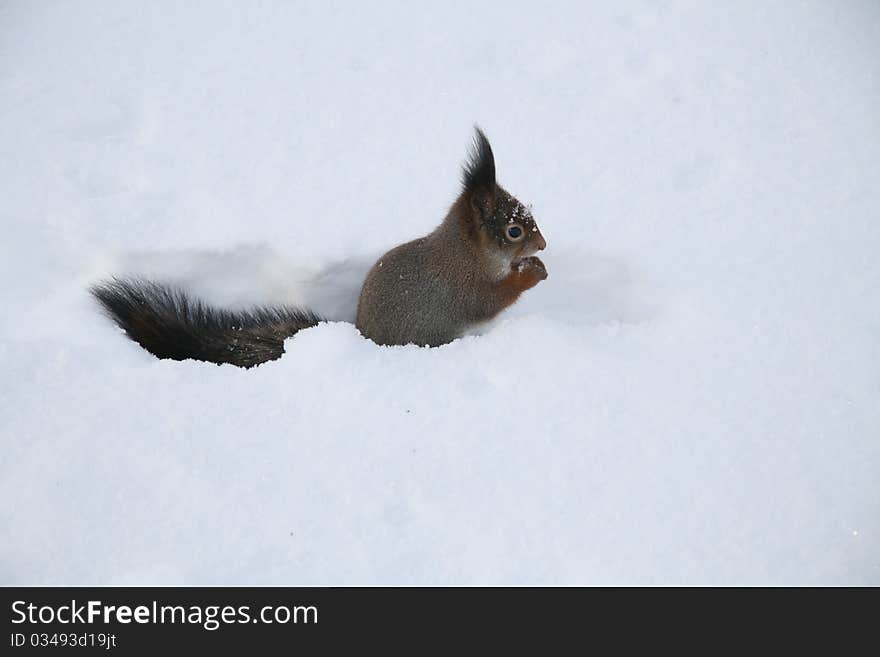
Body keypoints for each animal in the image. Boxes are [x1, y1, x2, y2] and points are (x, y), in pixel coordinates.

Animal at [89, 125, 544, 366]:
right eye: (514, 232)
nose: (542, 243)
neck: (469, 252)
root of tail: (363, 338)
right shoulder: (463, 287)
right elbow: (491, 300)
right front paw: (532, 273)